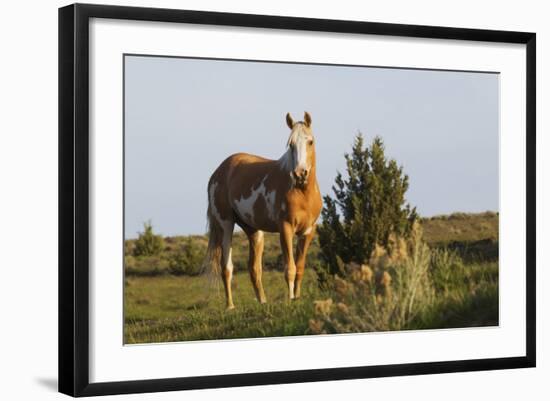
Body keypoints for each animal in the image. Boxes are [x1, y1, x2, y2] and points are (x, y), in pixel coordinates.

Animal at [205, 111, 322, 308]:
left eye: (310, 141)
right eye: (291, 144)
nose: (300, 174)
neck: (302, 193)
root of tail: (218, 172)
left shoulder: (308, 231)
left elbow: (299, 267)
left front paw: (297, 298)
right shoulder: (285, 228)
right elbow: (289, 268)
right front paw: (290, 300)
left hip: (254, 231)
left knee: (254, 269)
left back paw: (262, 302)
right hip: (225, 225)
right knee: (226, 267)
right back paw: (230, 306)